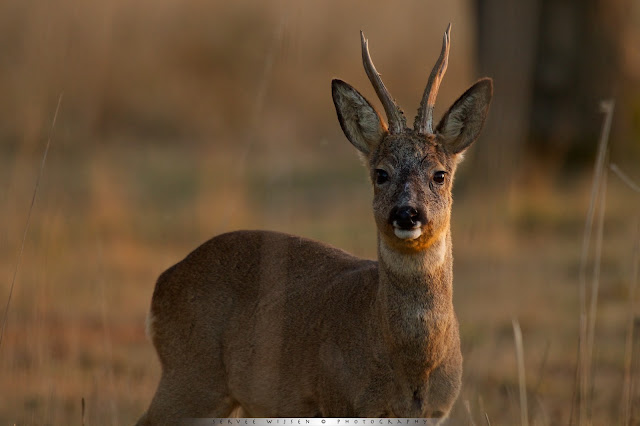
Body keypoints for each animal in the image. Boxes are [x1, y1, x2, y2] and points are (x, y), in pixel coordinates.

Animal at [138, 25, 492, 424]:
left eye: (439, 174)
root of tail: (163, 281)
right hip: (191, 377)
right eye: (381, 173)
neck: (410, 364)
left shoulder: (436, 411)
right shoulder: (339, 399)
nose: (406, 213)